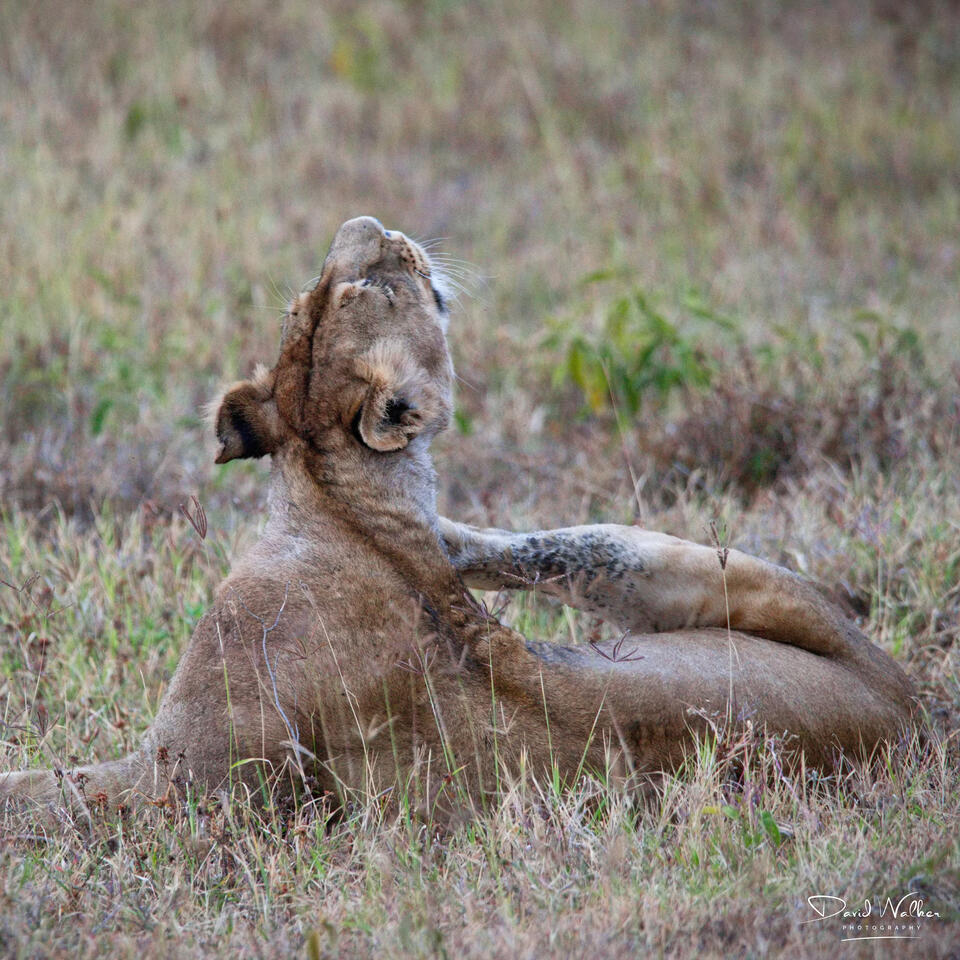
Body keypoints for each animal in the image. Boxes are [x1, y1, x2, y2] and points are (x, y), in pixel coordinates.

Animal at [0, 216, 916, 821]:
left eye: (365, 283)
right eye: (308, 299)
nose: (367, 221)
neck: (338, 499)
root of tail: (914, 716)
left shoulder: (179, 769)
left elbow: (46, 791)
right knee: (583, 552)